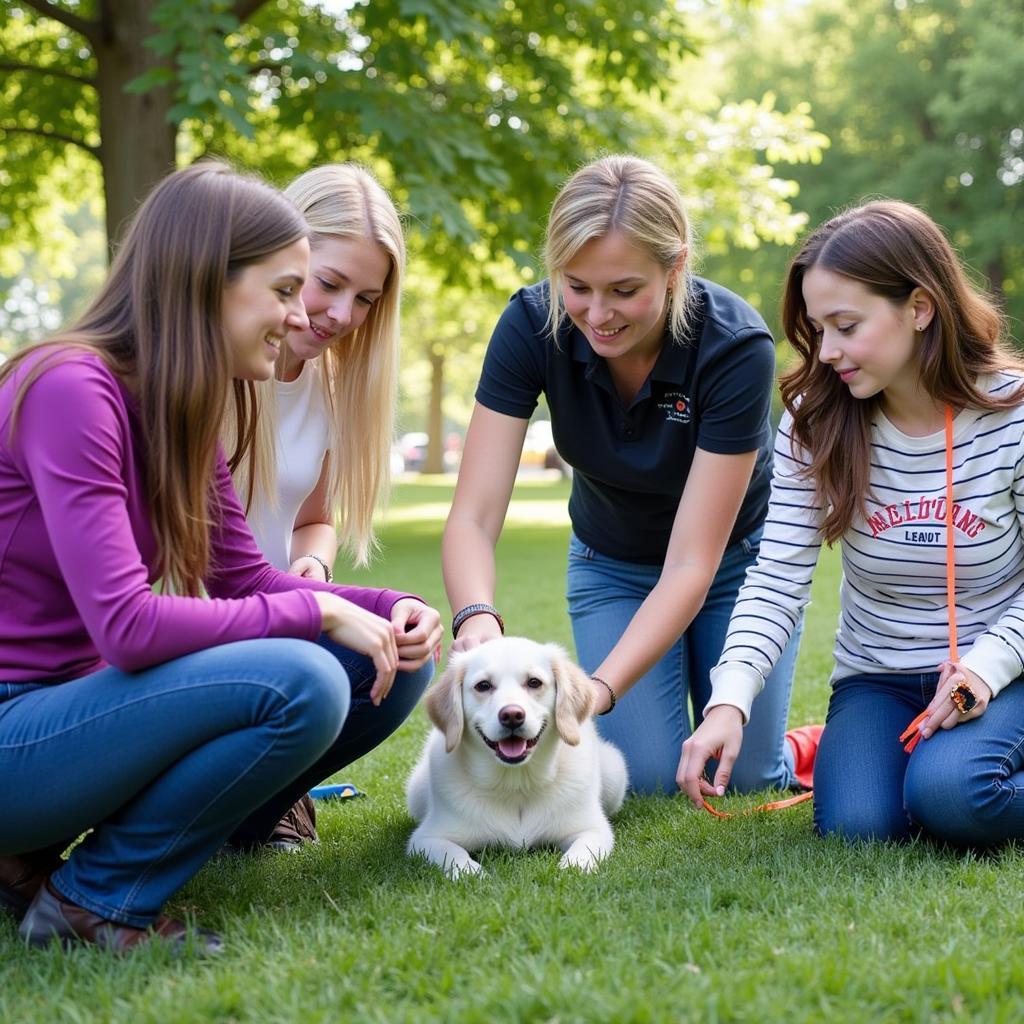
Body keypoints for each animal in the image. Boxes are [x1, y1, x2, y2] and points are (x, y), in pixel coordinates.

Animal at [403, 634, 626, 876]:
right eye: (483, 686)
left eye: (534, 682)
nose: (512, 715)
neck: (516, 783)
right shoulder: (427, 839)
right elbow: (455, 856)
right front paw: (474, 874)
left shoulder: (593, 829)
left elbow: (580, 856)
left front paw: (571, 868)